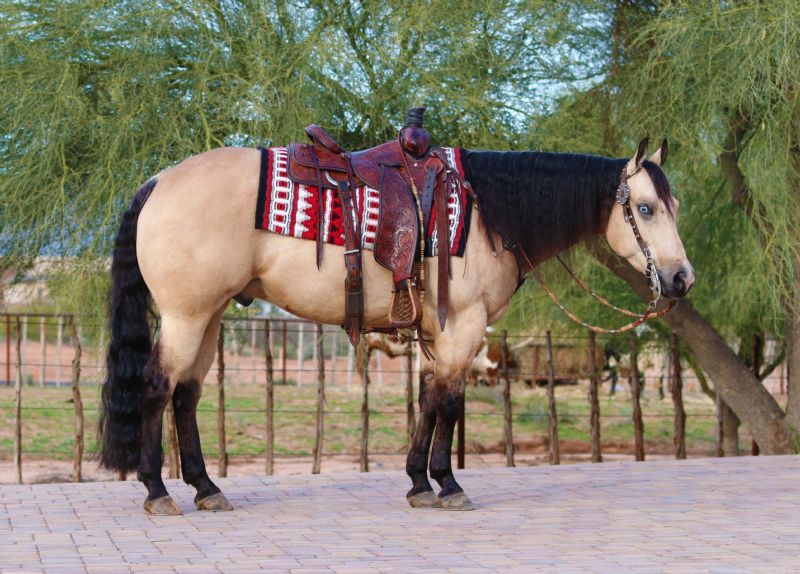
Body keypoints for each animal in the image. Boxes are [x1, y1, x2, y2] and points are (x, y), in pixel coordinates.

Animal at [98, 136, 694, 514]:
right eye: (645, 208)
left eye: (675, 206)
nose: (682, 278)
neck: (485, 212)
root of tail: (157, 182)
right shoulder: (463, 328)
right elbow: (449, 403)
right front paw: (448, 484)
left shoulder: (439, 335)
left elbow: (427, 400)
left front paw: (418, 483)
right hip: (186, 316)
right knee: (157, 388)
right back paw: (157, 492)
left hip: (210, 316)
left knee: (186, 395)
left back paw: (206, 488)